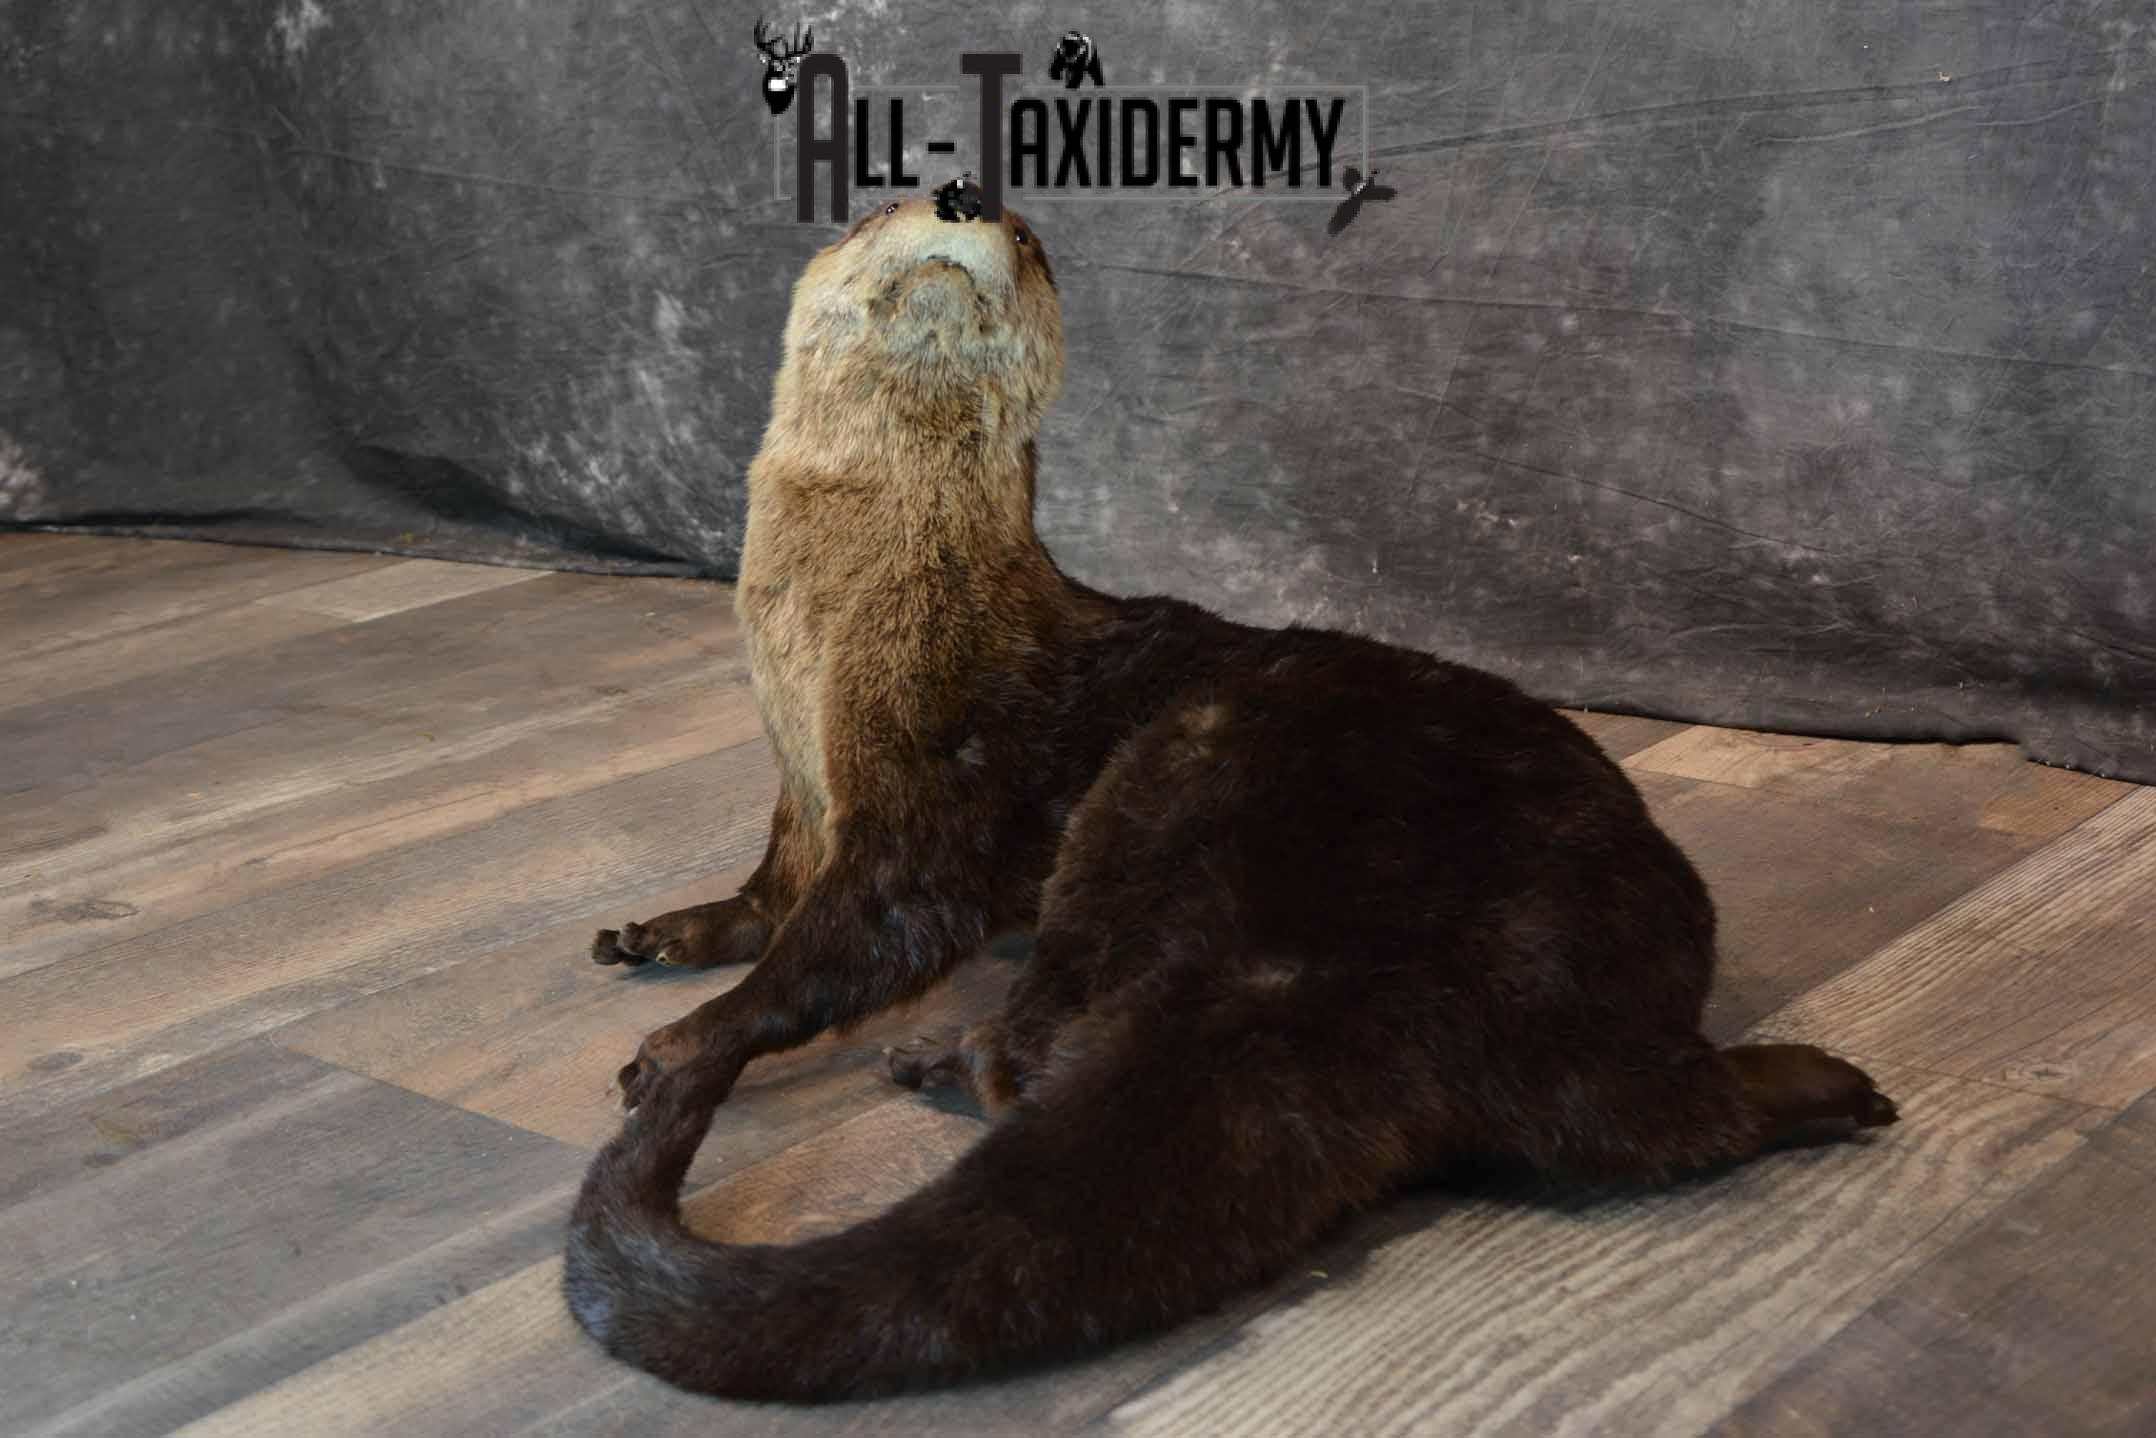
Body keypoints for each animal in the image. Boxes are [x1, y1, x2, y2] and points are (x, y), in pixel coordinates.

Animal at [565, 182, 1897, 1403]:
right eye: (878, 204)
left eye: (1031, 239)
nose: (964, 195)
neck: (837, 628)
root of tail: (1341, 967)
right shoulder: (802, 781)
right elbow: (768, 889)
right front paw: (670, 930)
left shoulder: (932, 784)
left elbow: (860, 929)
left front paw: (688, 1041)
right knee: (1642, 1118)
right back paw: (1825, 1088)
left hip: (1167, 775)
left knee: (1029, 1048)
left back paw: (933, 1058)